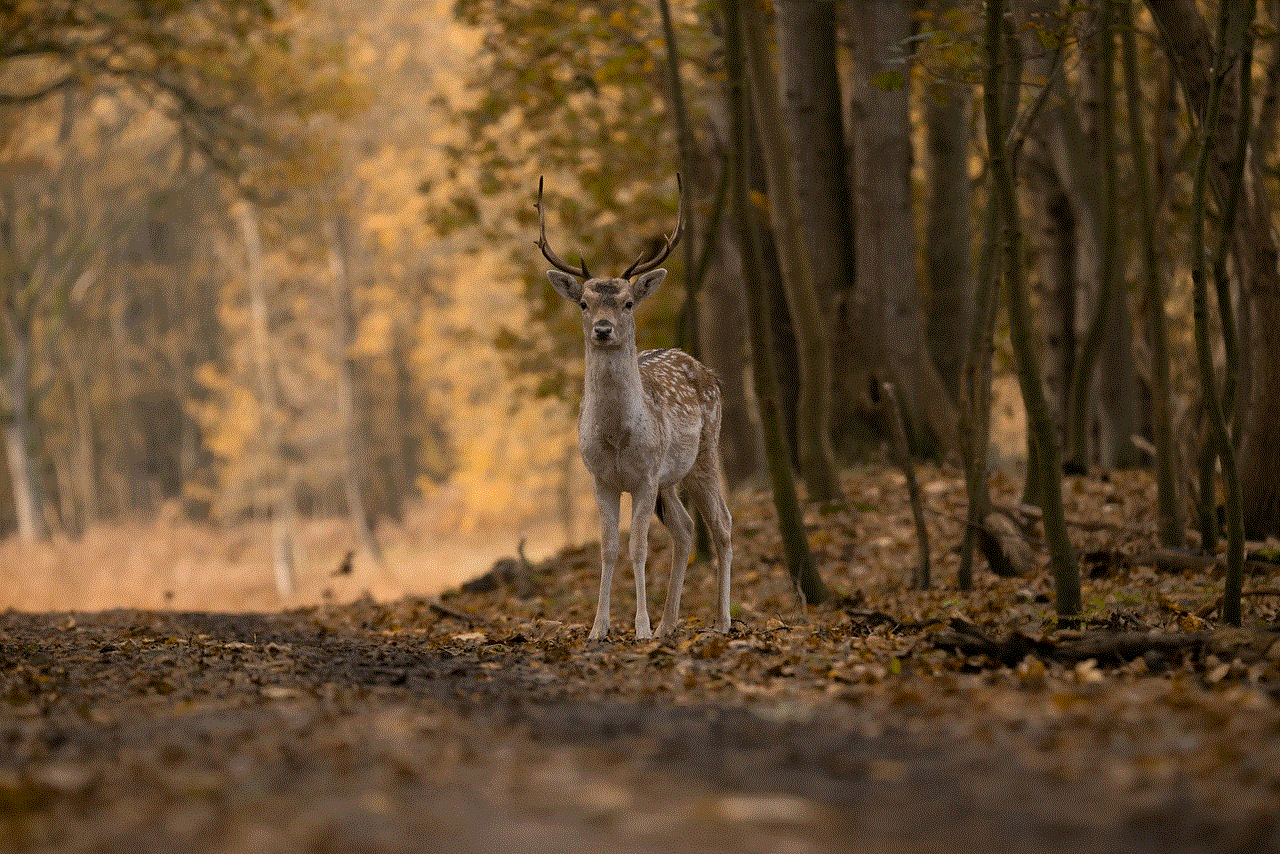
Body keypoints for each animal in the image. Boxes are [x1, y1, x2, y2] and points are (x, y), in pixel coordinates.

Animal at [537, 175, 737, 640]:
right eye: (584, 303)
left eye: (628, 302)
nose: (603, 329)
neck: (616, 436)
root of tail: (708, 371)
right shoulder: (600, 478)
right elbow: (609, 549)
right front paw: (599, 628)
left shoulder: (645, 476)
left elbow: (638, 548)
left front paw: (640, 628)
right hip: (671, 479)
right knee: (685, 529)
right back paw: (669, 624)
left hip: (704, 454)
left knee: (721, 524)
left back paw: (721, 621)